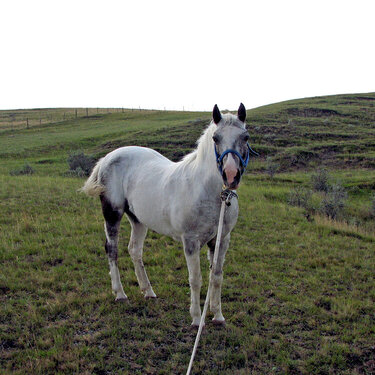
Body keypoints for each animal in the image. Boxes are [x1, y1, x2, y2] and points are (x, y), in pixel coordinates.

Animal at [82, 103, 253, 326]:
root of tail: (107, 158)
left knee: (134, 250)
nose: (231, 175)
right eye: (216, 138)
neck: (207, 191)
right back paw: (120, 294)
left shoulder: (221, 239)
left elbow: (216, 277)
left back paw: (148, 291)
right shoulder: (190, 241)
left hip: (138, 220)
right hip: (112, 213)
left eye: (246, 137)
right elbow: (195, 279)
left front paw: (217, 315)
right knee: (112, 249)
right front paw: (196, 318)